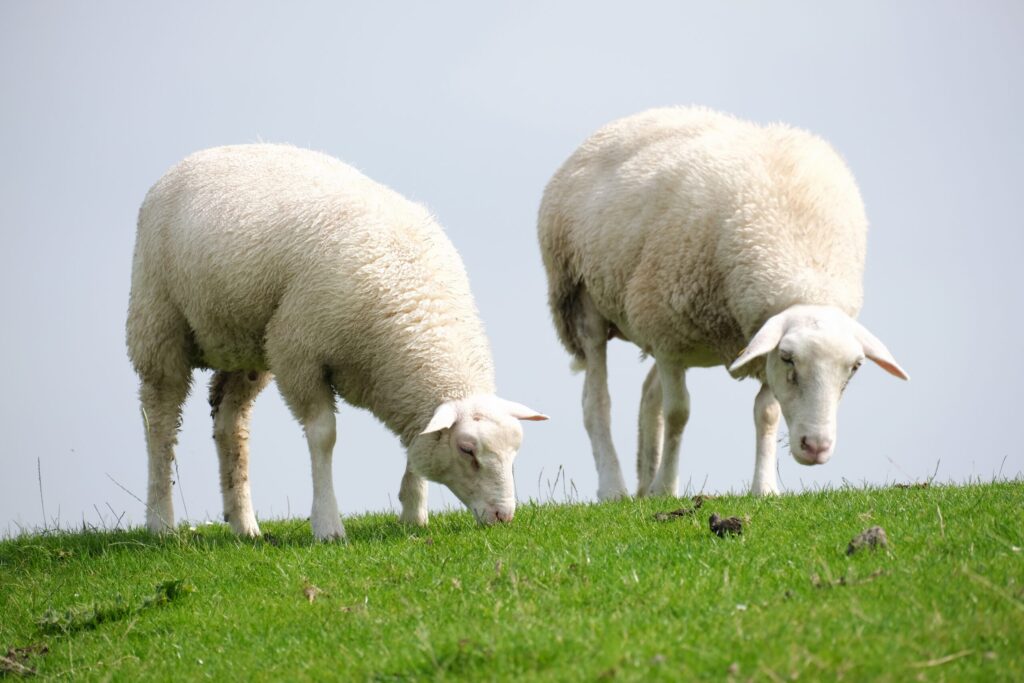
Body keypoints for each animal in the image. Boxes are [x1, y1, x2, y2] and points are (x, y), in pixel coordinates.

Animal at [127, 144, 547, 540]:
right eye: (467, 450)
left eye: (515, 450)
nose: (503, 516)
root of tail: (202, 155)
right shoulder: (298, 351)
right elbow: (323, 435)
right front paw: (327, 525)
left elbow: (416, 441)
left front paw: (413, 515)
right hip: (158, 320)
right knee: (160, 420)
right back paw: (161, 523)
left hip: (243, 341)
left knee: (230, 423)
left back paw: (244, 525)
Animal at [537, 106, 907, 500]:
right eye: (789, 358)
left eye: (855, 367)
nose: (816, 448)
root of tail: (635, 118)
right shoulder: (667, 336)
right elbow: (678, 413)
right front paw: (667, 489)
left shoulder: (756, 342)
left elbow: (766, 414)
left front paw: (764, 488)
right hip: (580, 296)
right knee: (597, 402)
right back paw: (615, 488)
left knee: (648, 395)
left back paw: (644, 483)